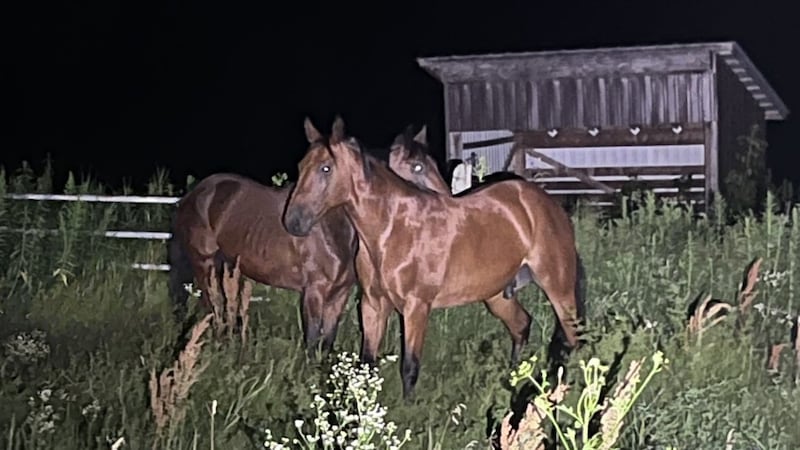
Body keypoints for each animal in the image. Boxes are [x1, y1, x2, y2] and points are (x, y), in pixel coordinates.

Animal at [167, 172, 359, 354]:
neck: (331, 228)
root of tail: (194, 193)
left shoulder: (340, 294)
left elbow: (327, 342)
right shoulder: (314, 292)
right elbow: (312, 341)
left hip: (226, 267)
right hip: (205, 265)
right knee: (213, 308)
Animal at [283, 116, 586, 399]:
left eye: (326, 167)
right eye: (301, 166)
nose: (293, 222)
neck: (392, 229)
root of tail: (548, 205)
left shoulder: (416, 307)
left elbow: (410, 368)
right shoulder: (372, 305)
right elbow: (367, 365)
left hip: (558, 288)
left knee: (574, 339)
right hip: (496, 295)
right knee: (522, 326)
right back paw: (512, 382)